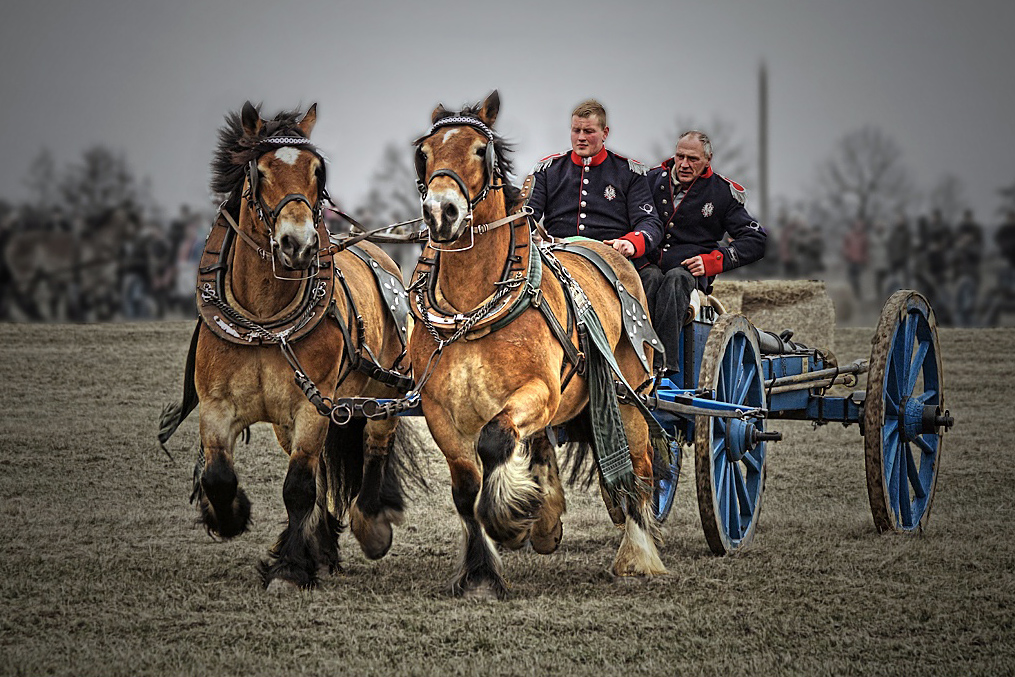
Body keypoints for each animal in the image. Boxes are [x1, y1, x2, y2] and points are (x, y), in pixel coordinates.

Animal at [157, 103, 416, 588]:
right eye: (259, 171)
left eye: (317, 171)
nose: (298, 243)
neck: (263, 323)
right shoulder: (217, 405)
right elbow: (218, 474)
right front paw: (230, 516)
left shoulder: (312, 408)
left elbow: (297, 487)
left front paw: (290, 568)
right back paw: (323, 544)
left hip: (385, 388)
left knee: (375, 446)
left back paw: (370, 523)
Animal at [408, 92, 669, 600]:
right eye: (425, 153)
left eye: (480, 151)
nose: (441, 212)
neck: (472, 313)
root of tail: (605, 250)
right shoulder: (438, 410)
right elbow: (466, 490)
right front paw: (481, 572)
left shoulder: (538, 393)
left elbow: (494, 441)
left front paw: (509, 521)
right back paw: (548, 518)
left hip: (630, 397)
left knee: (640, 469)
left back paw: (638, 553)